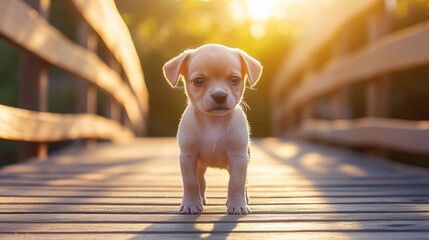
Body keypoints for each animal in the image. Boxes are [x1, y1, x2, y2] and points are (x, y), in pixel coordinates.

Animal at [162, 43, 260, 216]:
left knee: (244, 183)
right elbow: (190, 182)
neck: (214, 122)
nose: (219, 95)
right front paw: (191, 203)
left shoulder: (239, 158)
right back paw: (200, 199)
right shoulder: (188, 156)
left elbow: (237, 182)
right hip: (200, 165)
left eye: (235, 79)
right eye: (198, 81)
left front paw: (237, 204)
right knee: (200, 180)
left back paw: (244, 199)